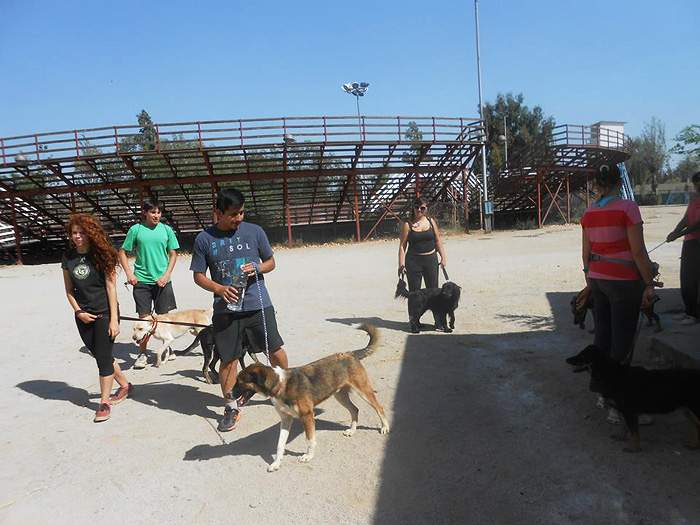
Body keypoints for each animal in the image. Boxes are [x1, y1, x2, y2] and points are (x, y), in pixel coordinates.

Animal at [232, 324, 392, 470]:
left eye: (240, 382)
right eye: (236, 380)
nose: (228, 394)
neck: (281, 384)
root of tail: (350, 353)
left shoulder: (307, 415)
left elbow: (310, 440)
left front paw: (308, 456)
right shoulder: (286, 418)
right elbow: (279, 445)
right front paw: (276, 463)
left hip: (363, 391)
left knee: (379, 407)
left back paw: (384, 427)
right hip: (340, 395)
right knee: (355, 410)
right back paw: (352, 430)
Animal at [568, 344, 700, 450]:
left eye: (583, 356)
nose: (566, 359)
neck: (609, 372)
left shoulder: (629, 411)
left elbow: (634, 432)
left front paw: (634, 448)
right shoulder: (622, 409)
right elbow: (624, 426)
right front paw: (621, 437)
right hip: (688, 411)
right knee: (696, 427)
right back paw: (694, 446)